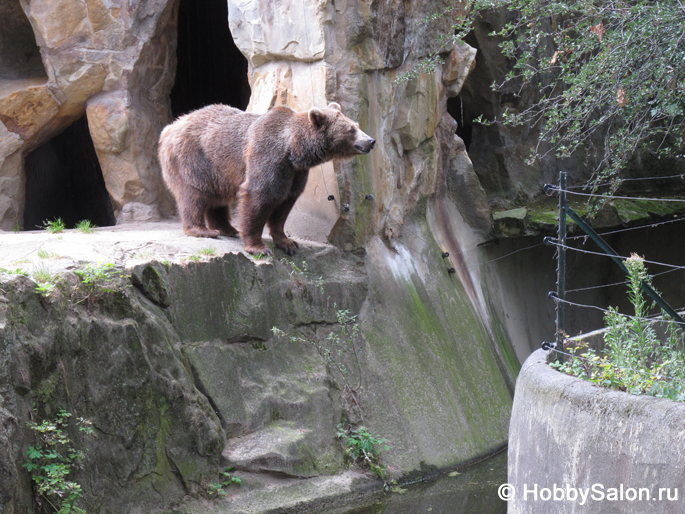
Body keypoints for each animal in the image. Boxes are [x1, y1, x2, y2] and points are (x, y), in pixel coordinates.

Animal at [157, 102, 374, 254]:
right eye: (351, 129)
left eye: (356, 124)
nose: (371, 141)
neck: (294, 150)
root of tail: (169, 127)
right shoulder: (268, 157)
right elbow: (258, 196)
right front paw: (258, 247)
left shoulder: (295, 173)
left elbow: (284, 206)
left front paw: (288, 243)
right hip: (193, 158)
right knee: (193, 194)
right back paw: (202, 230)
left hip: (217, 170)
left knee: (216, 198)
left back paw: (228, 228)